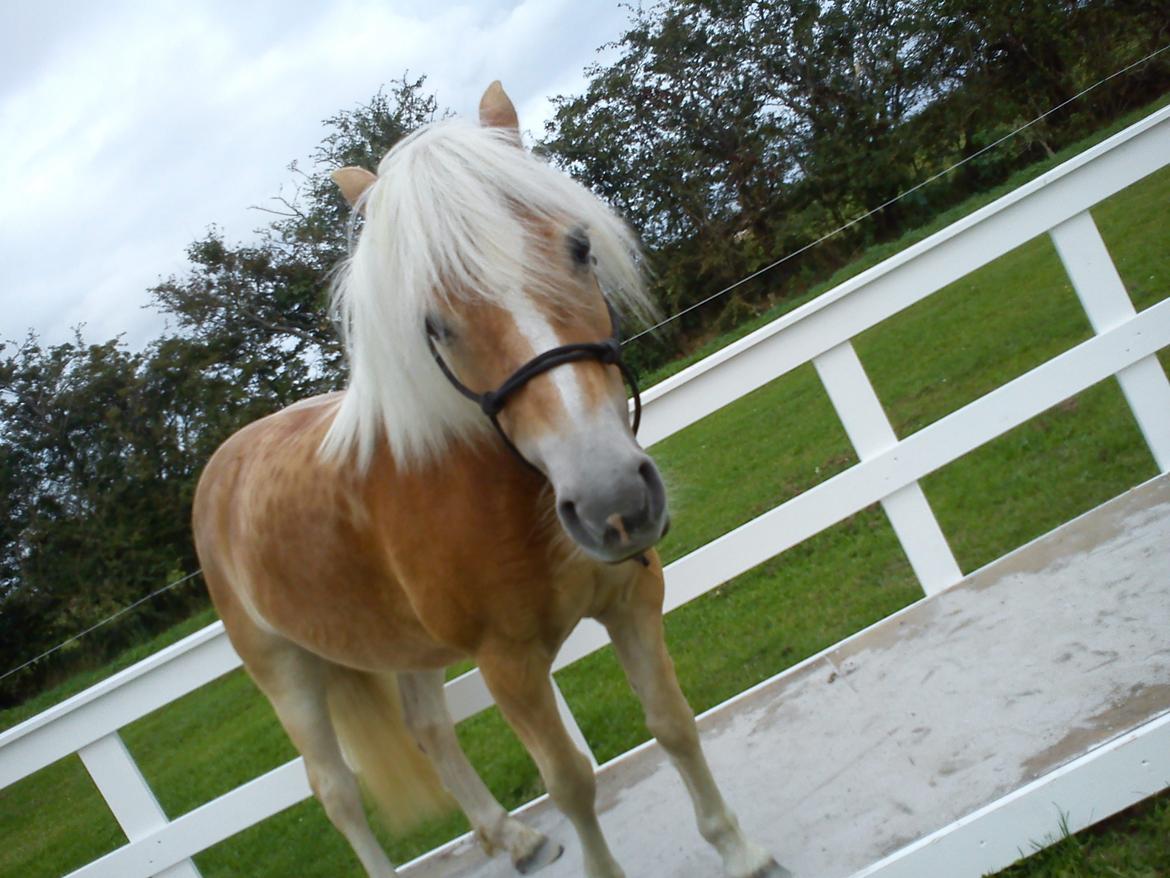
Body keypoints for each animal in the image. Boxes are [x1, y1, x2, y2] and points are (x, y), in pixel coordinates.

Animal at [196, 80, 790, 878]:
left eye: (579, 247)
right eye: (433, 323)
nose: (613, 501)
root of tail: (221, 468)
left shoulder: (634, 599)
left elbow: (673, 723)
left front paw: (740, 851)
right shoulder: (508, 665)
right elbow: (570, 780)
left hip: (403, 648)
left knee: (427, 728)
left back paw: (510, 836)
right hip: (286, 675)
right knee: (338, 793)